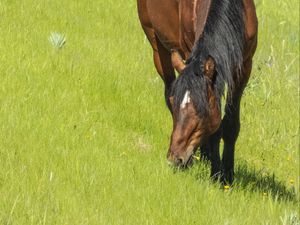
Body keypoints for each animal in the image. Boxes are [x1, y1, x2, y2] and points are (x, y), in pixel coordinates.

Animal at [138, 0, 258, 185]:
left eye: (201, 110)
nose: (175, 158)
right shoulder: (188, 50)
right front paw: (216, 173)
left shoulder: (243, 68)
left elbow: (230, 125)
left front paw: (227, 175)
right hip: (157, 46)